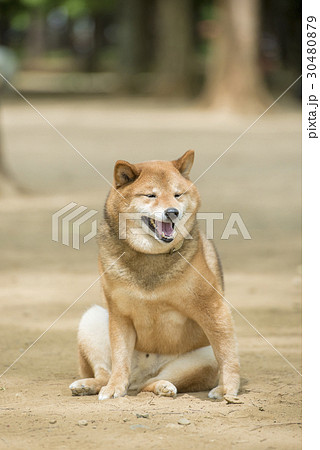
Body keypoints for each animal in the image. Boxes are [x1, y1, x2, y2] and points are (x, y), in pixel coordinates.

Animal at [70, 152, 240, 400]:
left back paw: (162, 387)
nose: (172, 212)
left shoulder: (213, 307)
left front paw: (228, 388)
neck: (151, 255)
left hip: (201, 356)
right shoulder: (119, 315)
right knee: (107, 374)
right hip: (92, 319)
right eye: (151, 195)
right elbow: (120, 358)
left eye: (178, 194)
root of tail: (139, 375)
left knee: (151, 383)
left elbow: (227, 353)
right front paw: (114, 388)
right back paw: (91, 385)